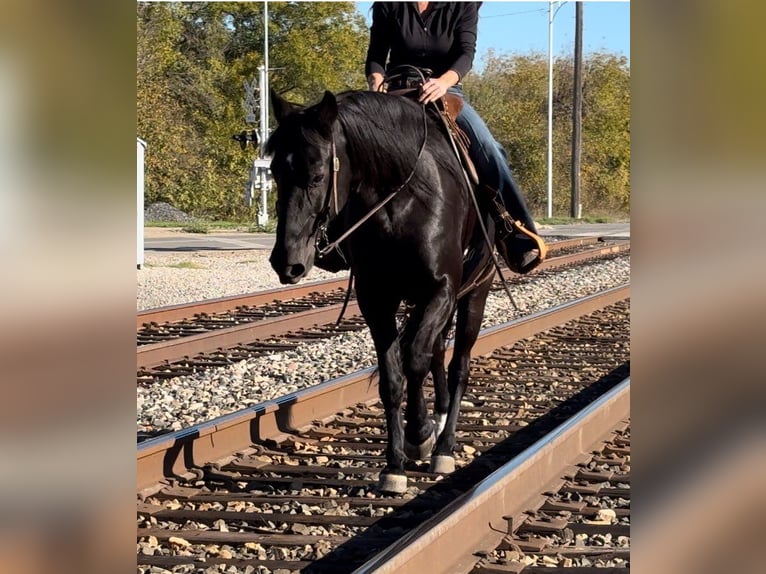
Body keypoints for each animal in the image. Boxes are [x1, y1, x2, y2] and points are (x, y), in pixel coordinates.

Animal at [268, 90, 498, 496]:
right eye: (275, 172)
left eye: (318, 174)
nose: (286, 262)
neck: (401, 201)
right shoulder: (377, 299)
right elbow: (393, 376)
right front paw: (395, 464)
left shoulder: (441, 289)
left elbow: (415, 359)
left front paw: (419, 435)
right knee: (438, 354)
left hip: (474, 294)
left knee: (458, 366)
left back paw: (444, 445)